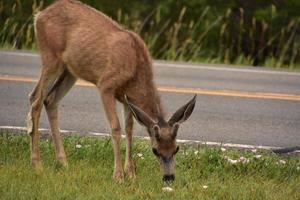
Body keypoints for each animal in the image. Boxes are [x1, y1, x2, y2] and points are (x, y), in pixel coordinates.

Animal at [27, 0, 197, 182]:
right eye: (155, 150)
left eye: (176, 149)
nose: (169, 177)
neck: (135, 69)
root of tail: (39, 16)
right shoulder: (106, 85)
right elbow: (115, 127)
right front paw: (118, 175)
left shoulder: (127, 98)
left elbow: (129, 129)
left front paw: (131, 173)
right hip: (51, 58)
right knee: (35, 99)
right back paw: (37, 164)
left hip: (70, 71)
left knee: (50, 100)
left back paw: (63, 162)